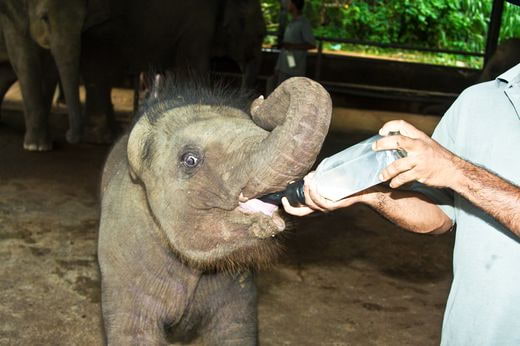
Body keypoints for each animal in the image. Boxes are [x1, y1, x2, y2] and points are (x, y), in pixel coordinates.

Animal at [0, 0, 108, 150]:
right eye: (44, 18)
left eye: (84, 20)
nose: (69, 135)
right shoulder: (10, 17)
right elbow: (25, 62)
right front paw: (35, 147)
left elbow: (50, 70)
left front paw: (43, 145)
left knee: (6, 74)